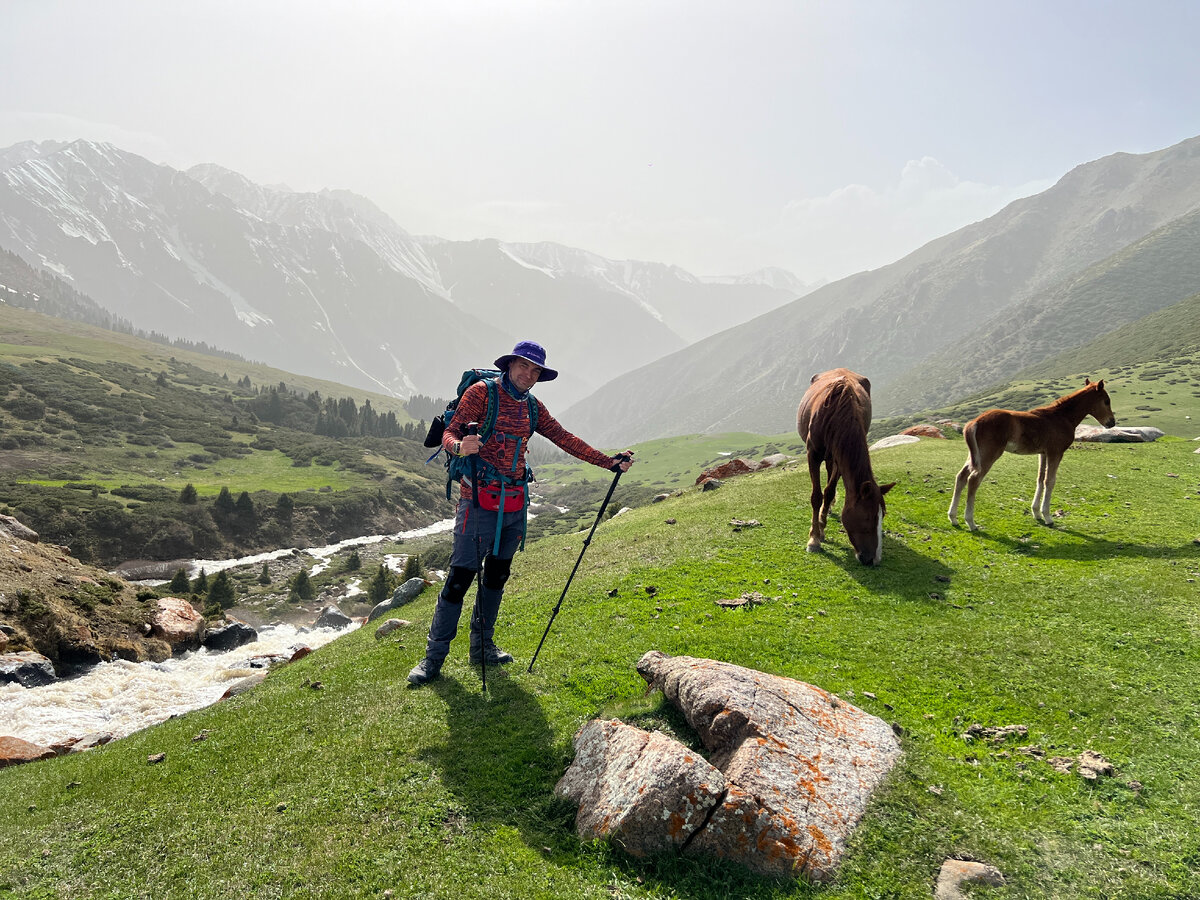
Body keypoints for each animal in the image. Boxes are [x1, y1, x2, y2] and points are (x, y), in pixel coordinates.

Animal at [792, 367, 897, 564]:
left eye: (882, 516)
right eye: (868, 518)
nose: (874, 559)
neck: (836, 411)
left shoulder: (839, 458)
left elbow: (829, 491)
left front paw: (821, 527)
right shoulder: (813, 454)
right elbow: (816, 496)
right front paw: (814, 539)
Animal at [950, 379, 1118, 532]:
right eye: (1106, 401)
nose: (1112, 422)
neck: (1062, 417)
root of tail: (975, 422)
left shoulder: (1043, 453)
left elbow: (1040, 479)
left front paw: (1036, 513)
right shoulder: (1056, 452)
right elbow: (1050, 481)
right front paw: (1048, 517)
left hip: (975, 455)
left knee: (961, 476)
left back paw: (953, 518)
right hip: (989, 455)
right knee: (973, 479)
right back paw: (970, 522)